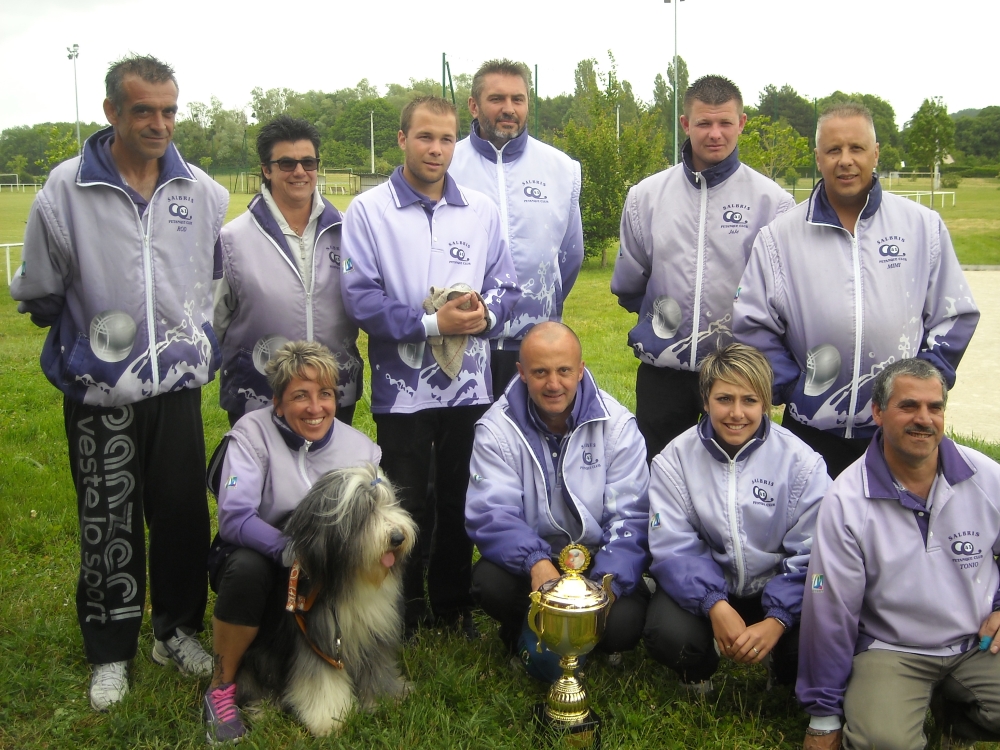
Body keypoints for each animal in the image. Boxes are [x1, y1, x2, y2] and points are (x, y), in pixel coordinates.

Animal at [236, 462, 416, 736]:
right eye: (364, 511)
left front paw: (385, 699)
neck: (352, 579)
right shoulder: (317, 637)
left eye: (388, 503)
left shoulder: (374, 631)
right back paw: (262, 709)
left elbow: (377, 667)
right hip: (260, 656)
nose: (398, 538)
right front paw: (329, 718)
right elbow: (320, 680)